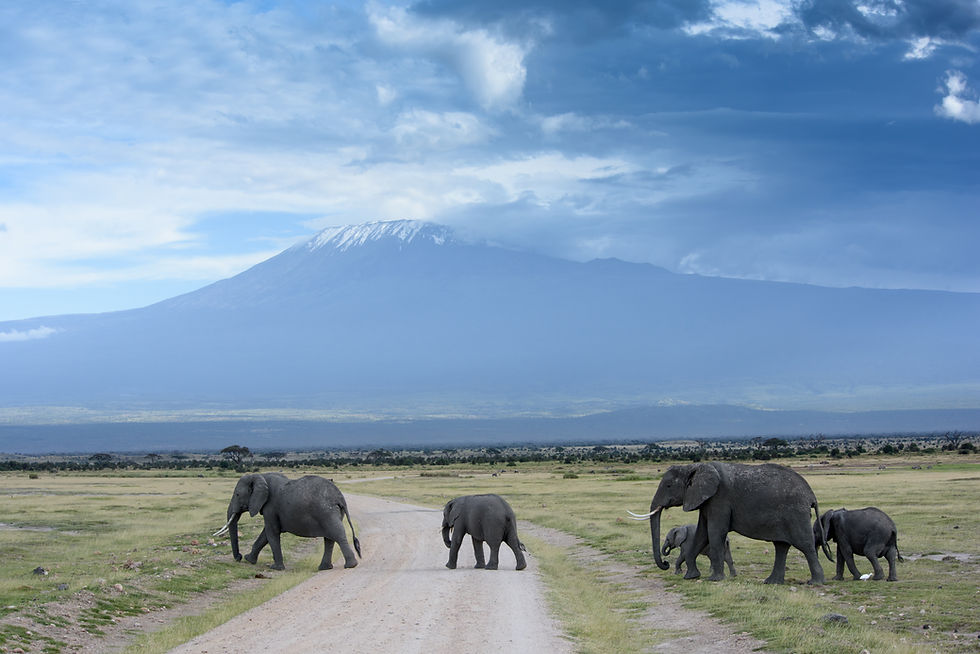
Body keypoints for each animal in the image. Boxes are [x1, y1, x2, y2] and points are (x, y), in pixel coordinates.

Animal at [213, 473, 361, 571]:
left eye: (237, 494)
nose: (238, 557)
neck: (260, 476)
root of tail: (340, 498)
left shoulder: (270, 507)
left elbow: (271, 532)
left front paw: (276, 568)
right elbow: (265, 534)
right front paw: (249, 559)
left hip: (327, 512)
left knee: (337, 534)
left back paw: (350, 565)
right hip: (332, 512)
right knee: (329, 538)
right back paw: (324, 568)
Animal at [628, 462, 832, 584]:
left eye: (669, 485)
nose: (665, 563)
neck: (694, 467)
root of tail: (811, 496)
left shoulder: (719, 499)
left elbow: (714, 532)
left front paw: (714, 580)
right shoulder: (706, 501)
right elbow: (702, 533)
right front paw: (691, 577)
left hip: (796, 513)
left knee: (805, 545)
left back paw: (815, 582)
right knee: (781, 546)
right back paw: (771, 582)